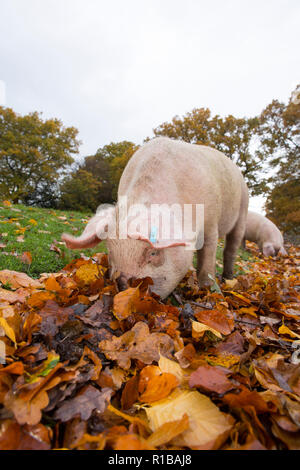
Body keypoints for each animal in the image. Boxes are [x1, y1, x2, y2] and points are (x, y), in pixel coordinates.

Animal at [61, 136, 248, 298]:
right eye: (111, 252)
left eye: (153, 253)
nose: (124, 285)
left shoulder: (211, 221)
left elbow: (207, 257)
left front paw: (208, 291)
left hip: (242, 211)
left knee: (231, 248)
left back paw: (228, 278)